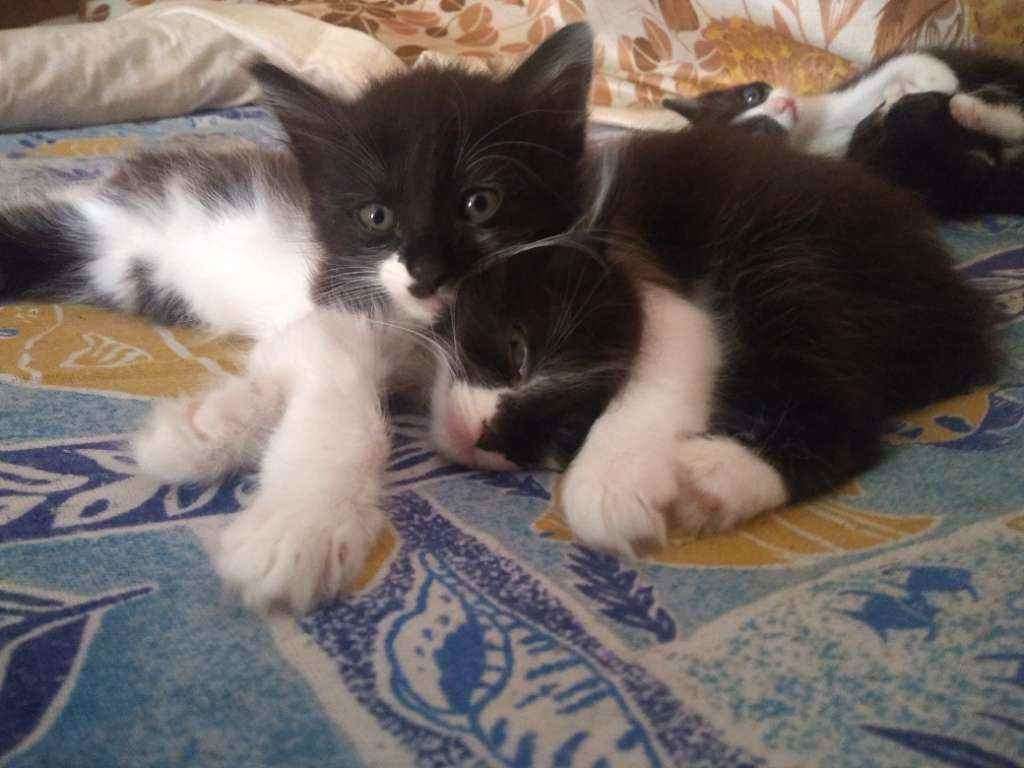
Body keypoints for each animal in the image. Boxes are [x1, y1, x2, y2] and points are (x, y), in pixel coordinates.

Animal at [0, 23, 596, 611]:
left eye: (481, 204)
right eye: (376, 216)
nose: (425, 274)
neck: (423, 332)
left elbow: (281, 366)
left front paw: (200, 429)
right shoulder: (339, 301)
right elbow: (343, 397)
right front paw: (301, 528)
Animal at [429, 124, 1000, 555]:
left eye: (573, 422)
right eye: (517, 350)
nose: (486, 436)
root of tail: (954, 298)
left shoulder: (653, 276)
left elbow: (683, 345)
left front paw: (612, 482)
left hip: (789, 251)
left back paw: (717, 477)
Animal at [664, 47, 1024, 216]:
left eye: (752, 95)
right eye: (760, 134)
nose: (782, 104)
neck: (811, 133)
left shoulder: (839, 99)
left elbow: (896, 68)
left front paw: (934, 76)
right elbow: (866, 136)